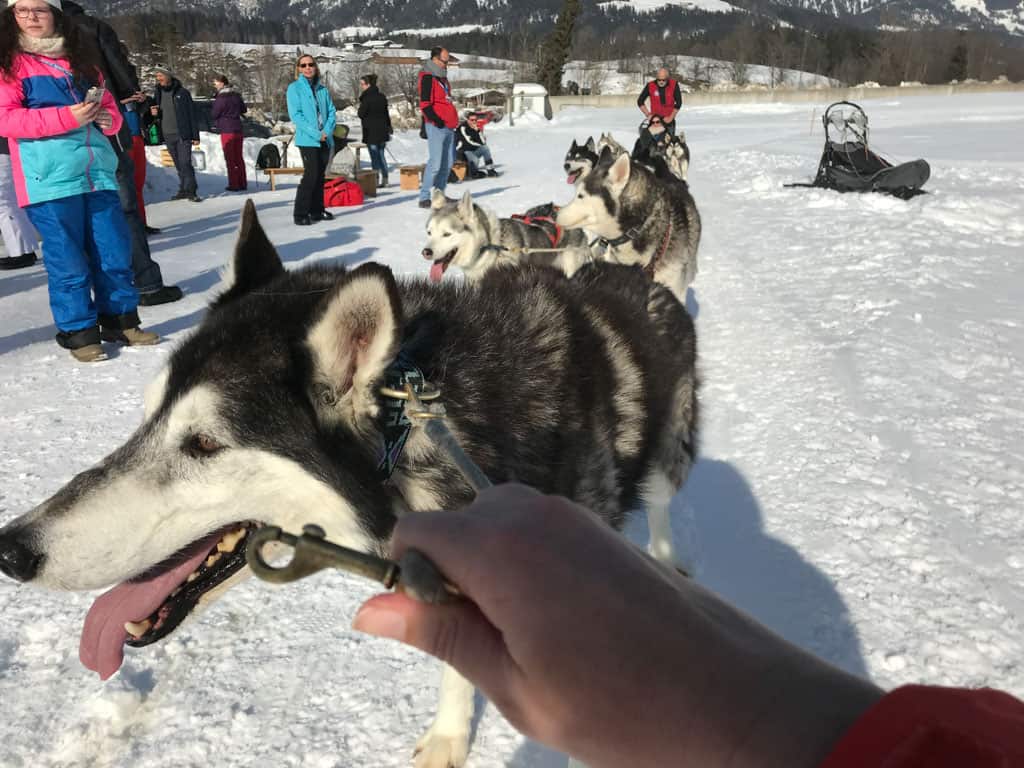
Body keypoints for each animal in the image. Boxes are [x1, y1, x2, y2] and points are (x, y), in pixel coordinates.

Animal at [0, 201, 696, 768]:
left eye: (203, 444)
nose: (10, 550)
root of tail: (633, 273)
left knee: (664, 508)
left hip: (669, 457)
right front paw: (450, 736)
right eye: (147, 418)